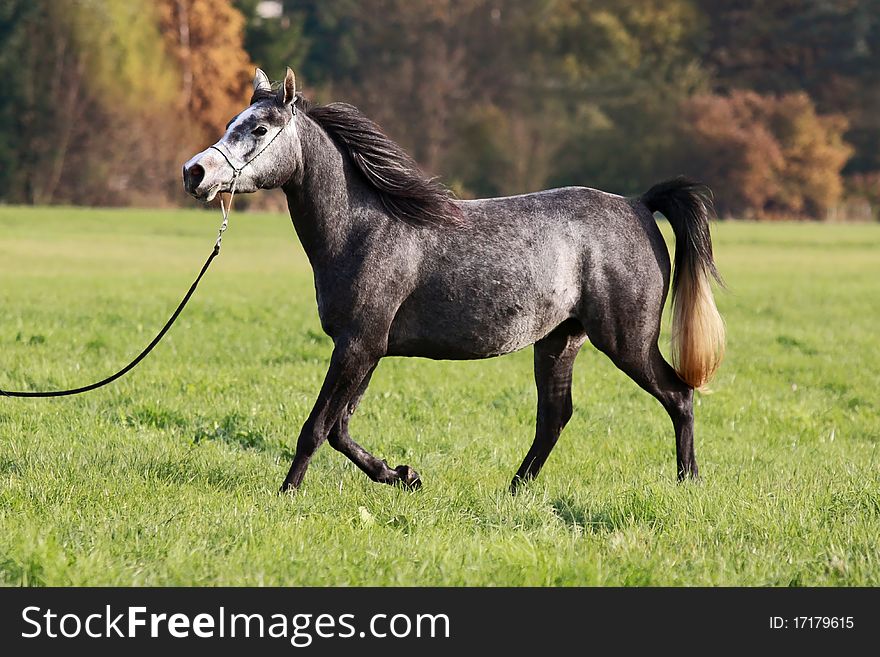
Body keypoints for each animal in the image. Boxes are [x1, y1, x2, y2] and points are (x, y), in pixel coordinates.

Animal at [180, 70, 720, 492]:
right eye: (230, 124)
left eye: (259, 127)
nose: (195, 172)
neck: (364, 227)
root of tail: (638, 205)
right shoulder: (368, 349)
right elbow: (340, 428)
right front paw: (402, 475)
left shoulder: (357, 345)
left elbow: (316, 428)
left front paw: (288, 492)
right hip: (559, 340)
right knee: (555, 416)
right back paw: (515, 490)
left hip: (627, 341)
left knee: (678, 395)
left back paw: (687, 482)